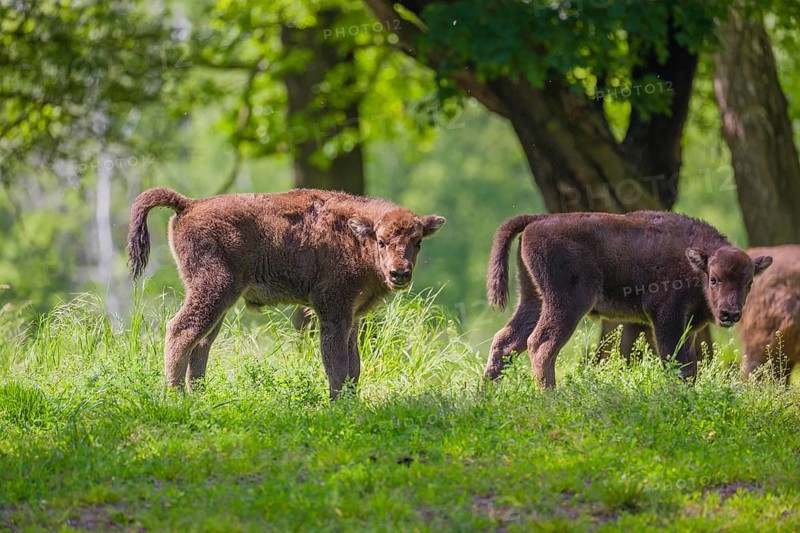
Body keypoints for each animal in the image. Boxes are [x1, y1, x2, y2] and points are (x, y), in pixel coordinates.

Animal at [127, 188, 445, 399]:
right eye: (381, 241)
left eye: (417, 241)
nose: (399, 273)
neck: (355, 236)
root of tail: (190, 205)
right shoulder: (332, 313)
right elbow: (337, 364)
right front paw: (338, 404)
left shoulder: (352, 317)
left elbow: (354, 366)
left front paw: (353, 403)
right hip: (212, 289)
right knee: (181, 331)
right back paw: (176, 396)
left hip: (220, 300)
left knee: (202, 342)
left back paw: (200, 396)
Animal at [485, 211, 772, 388]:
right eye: (714, 279)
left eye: (749, 283)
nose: (729, 313)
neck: (695, 264)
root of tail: (537, 220)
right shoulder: (667, 318)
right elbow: (676, 362)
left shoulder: (688, 328)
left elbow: (690, 367)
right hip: (566, 305)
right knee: (541, 345)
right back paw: (551, 398)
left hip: (533, 299)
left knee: (506, 342)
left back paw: (486, 395)